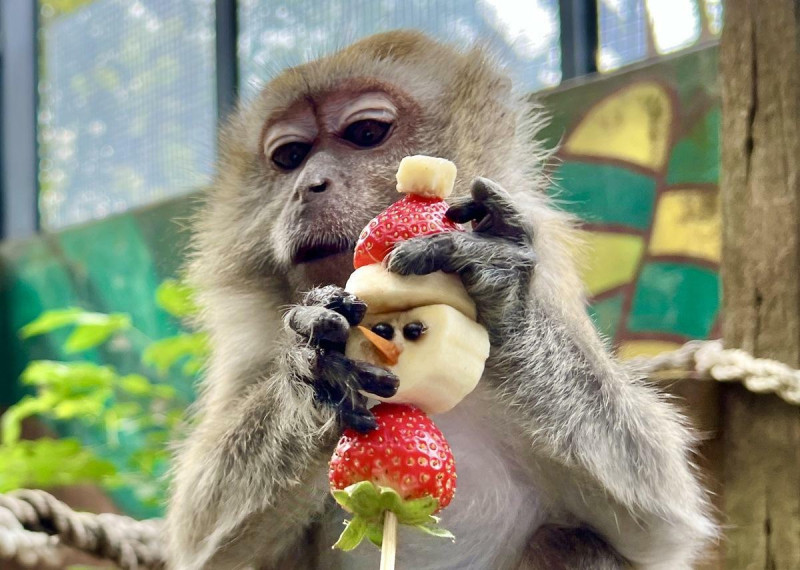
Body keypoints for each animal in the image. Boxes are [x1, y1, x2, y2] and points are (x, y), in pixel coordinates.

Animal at [166, 30, 716, 568]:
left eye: (366, 133)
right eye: (289, 158)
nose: (309, 186)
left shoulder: (554, 287)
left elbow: (657, 516)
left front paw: (503, 297)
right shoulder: (250, 345)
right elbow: (202, 538)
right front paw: (314, 367)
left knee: (575, 542)